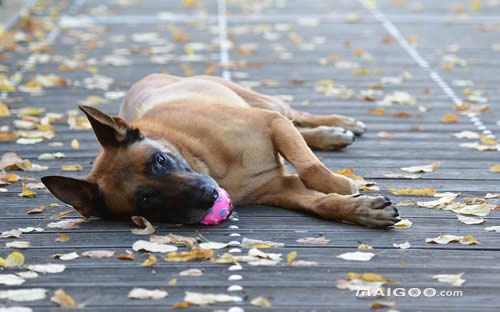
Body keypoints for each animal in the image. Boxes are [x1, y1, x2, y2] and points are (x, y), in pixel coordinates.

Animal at [43, 75, 402, 227]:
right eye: (146, 200)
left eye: (159, 160)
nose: (207, 195)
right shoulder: (281, 189)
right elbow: (321, 203)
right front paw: (362, 210)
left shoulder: (272, 123)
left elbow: (311, 168)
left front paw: (342, 185)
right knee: (299, 127)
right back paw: (330, 135)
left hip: (267, 104)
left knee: (295, 116)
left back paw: (337, 125)